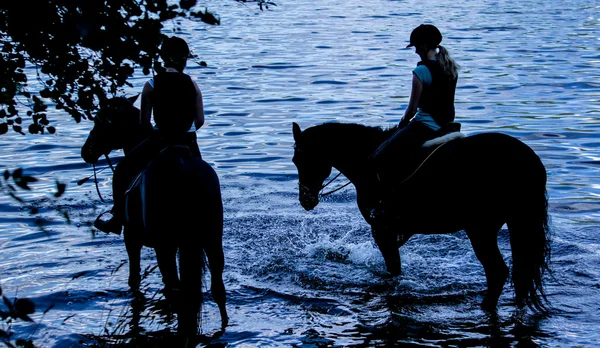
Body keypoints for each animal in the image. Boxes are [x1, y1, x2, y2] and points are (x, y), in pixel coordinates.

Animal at [81, 94, 229, 338]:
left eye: (99, 120)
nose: (86, 152)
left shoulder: (131, 240)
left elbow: (134, 279)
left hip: (165, 247)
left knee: (174, 288)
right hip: (211, 242)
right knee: (217, 289)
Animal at [292, 121, 552, 312]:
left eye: (299, 159)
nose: (306, 200)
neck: (365, 159)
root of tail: (529, 161)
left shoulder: (382, 229)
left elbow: (393, 270)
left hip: (481, 229)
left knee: (498, 272)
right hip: (516, 224)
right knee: (519, 273)